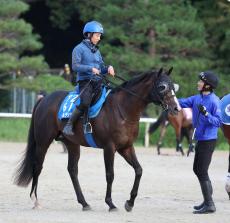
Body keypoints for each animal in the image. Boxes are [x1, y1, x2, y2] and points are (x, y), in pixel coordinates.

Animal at [13, 68, 180, 211]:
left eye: (173, 86)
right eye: (162, 86)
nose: (176, 108)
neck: (122, 109)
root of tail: (44, 99)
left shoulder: (126, 147)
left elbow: (138, 170)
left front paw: (130, 202)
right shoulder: (109, 148)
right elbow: (110, 174)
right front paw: (110, 203)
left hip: (72, 144)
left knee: (72, 170)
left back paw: (84, 203)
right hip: (43, 142)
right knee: (37, 166)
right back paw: (35, 200)